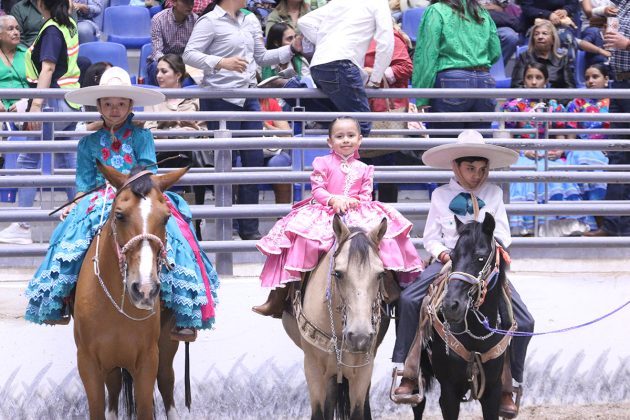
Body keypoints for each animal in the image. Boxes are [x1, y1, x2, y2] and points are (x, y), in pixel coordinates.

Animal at [72, 162, 189, 418]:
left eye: (166, 218)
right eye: (119, 215)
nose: (145, 289)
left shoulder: (147, 360)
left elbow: (146, 407)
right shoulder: (88, 363)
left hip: (166, 345)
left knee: (166, 380)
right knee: (115, 388)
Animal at [282, 215, 390, 418]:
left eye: (380, 275)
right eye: (338, 273)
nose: (360, 337)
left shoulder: (363, 370)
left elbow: (358, 410)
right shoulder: (313, 369)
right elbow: (319, 412)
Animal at [396, 215, 520, 418]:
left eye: (481, 257)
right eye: (452, 256)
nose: (451, 305)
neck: (476, 338)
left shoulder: (492, 391)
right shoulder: (449, 393)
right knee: (418, 404)